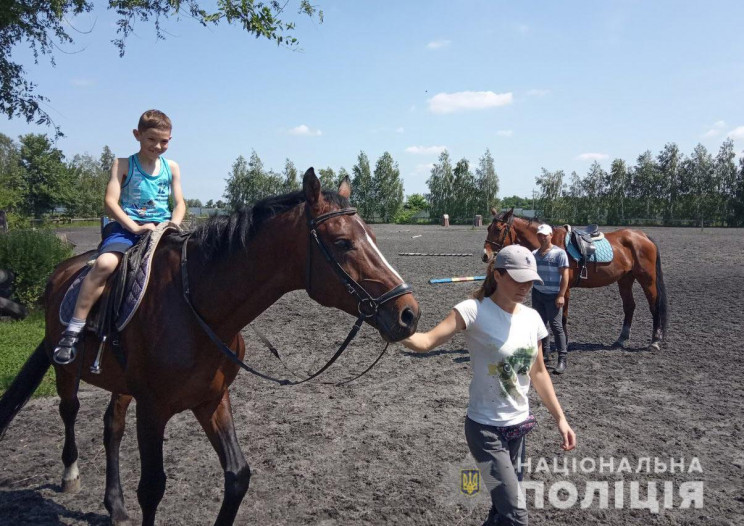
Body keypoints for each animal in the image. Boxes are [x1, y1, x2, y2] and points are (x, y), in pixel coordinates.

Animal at [0, 170, 418, 526]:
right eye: (343, 242)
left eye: (373, 237)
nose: (408, 313)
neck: (197, 306)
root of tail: (63, 270)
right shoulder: (152, 409)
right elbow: (152, 489)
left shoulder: (212, 398)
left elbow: (237, 475)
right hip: (66, 369)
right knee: (70, 410)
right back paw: (71, 473)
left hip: (121, 384)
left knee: (111, 427)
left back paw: (115, 505)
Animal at [482, 208, 668, 352]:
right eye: (488, 228)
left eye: (498, 230)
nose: (485, 255)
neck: (551, 244)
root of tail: (642, 235)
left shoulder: (564, 289)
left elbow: (562, 316)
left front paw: (564, 342)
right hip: (625, 280)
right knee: (629, 306)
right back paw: (621, 339)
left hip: (647, 279)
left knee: (654, 305)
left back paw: (655, 341)